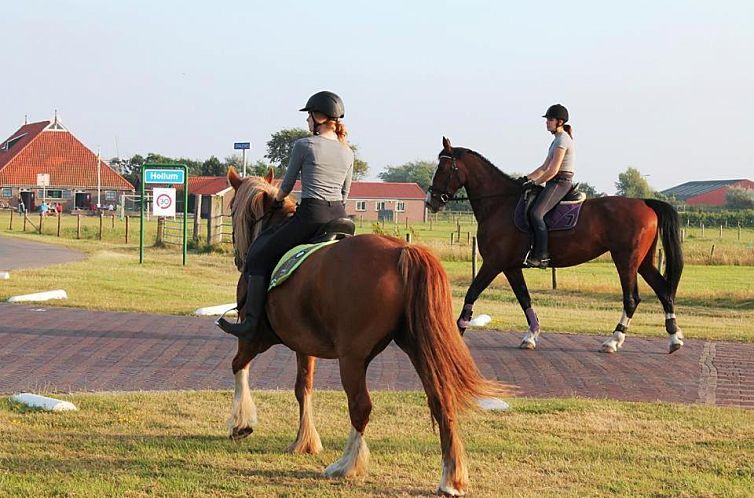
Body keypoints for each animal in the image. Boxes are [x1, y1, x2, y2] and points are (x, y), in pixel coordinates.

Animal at [223, 166, 506, 494]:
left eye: (232, 207)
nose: (238, 258)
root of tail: (403, 250)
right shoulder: (304, 345)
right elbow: (303, 387)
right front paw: (304, 441)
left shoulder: (254, 335)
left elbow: (239, 365)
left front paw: (240, 423)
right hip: (418, 348)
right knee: (442, 402)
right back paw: (450, 477)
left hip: (353, 358)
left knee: (361, 407)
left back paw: (346, 465)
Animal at [426, 137, 684, 354]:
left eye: (443, 169)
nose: (431, 202)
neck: (499, 204)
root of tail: (644, 202)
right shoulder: (510, 267)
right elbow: (524, 298)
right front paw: (531, 336)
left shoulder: (493, 263)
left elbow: (472, 292)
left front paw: (457, 332)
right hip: (642, 261)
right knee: (663, 291)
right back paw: (674, 338)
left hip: (626, 260)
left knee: (631, 299)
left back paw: (613, 340)